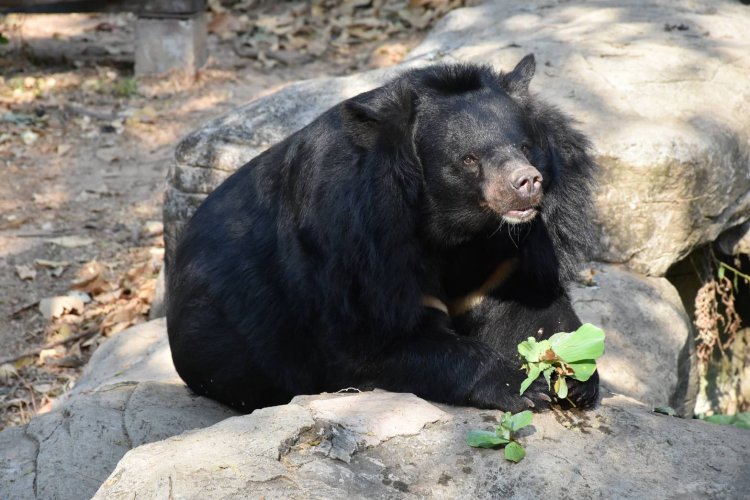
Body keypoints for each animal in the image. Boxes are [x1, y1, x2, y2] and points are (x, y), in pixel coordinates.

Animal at [167, 54, 604, 414]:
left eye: (526, 146)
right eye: (469, 159)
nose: (526, 182)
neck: (458, 230)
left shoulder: (504, 256)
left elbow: (525, 308)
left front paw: (575, 375)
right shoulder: (357, 248)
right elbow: (377, 342)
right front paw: (520, 388)